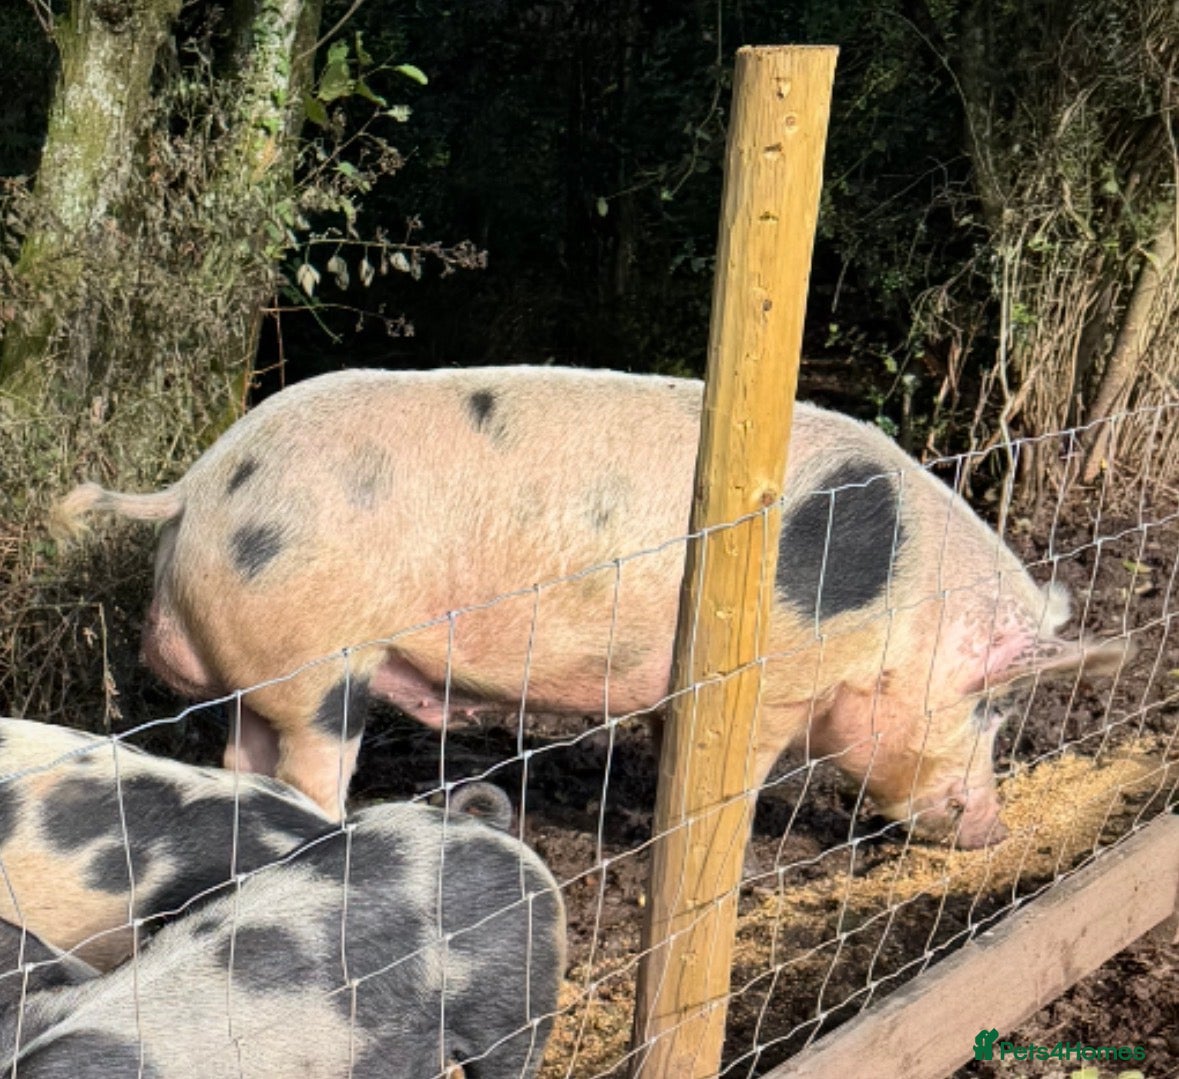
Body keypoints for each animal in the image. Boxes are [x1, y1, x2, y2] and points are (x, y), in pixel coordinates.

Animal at [51, 366, 1130, 846]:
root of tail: (196, 486)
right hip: (321, 663)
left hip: (262, 673)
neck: (907, 601)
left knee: (242, 762)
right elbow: (741, 776)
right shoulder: (773, 682)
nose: (993, 827)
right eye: (993, 705)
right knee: (308, 767)